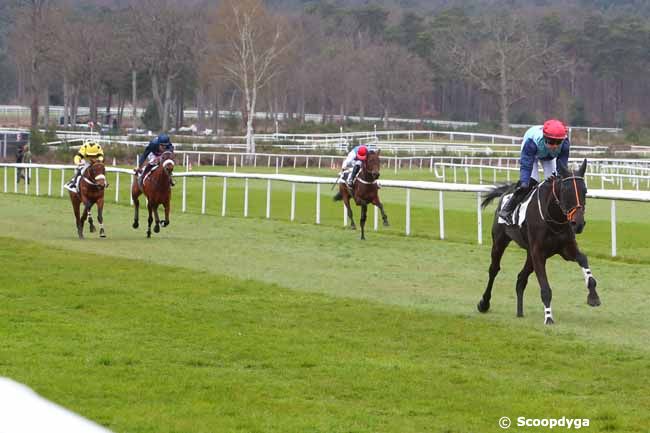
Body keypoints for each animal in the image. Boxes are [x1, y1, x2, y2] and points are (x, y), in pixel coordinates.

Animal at [476, 157, 596, 322]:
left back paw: (519, 312)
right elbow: (545, 288)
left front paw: (593, 296)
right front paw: (548, 317)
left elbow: (583, 259)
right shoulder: (538, 252)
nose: (578, 224)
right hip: (500, 241)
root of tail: (507, 191)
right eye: (566, 191)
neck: (553, 217)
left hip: (530, 254)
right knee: (494, 269)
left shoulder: (565, 249)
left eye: (585, 191)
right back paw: (484, 303)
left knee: (521, 278)